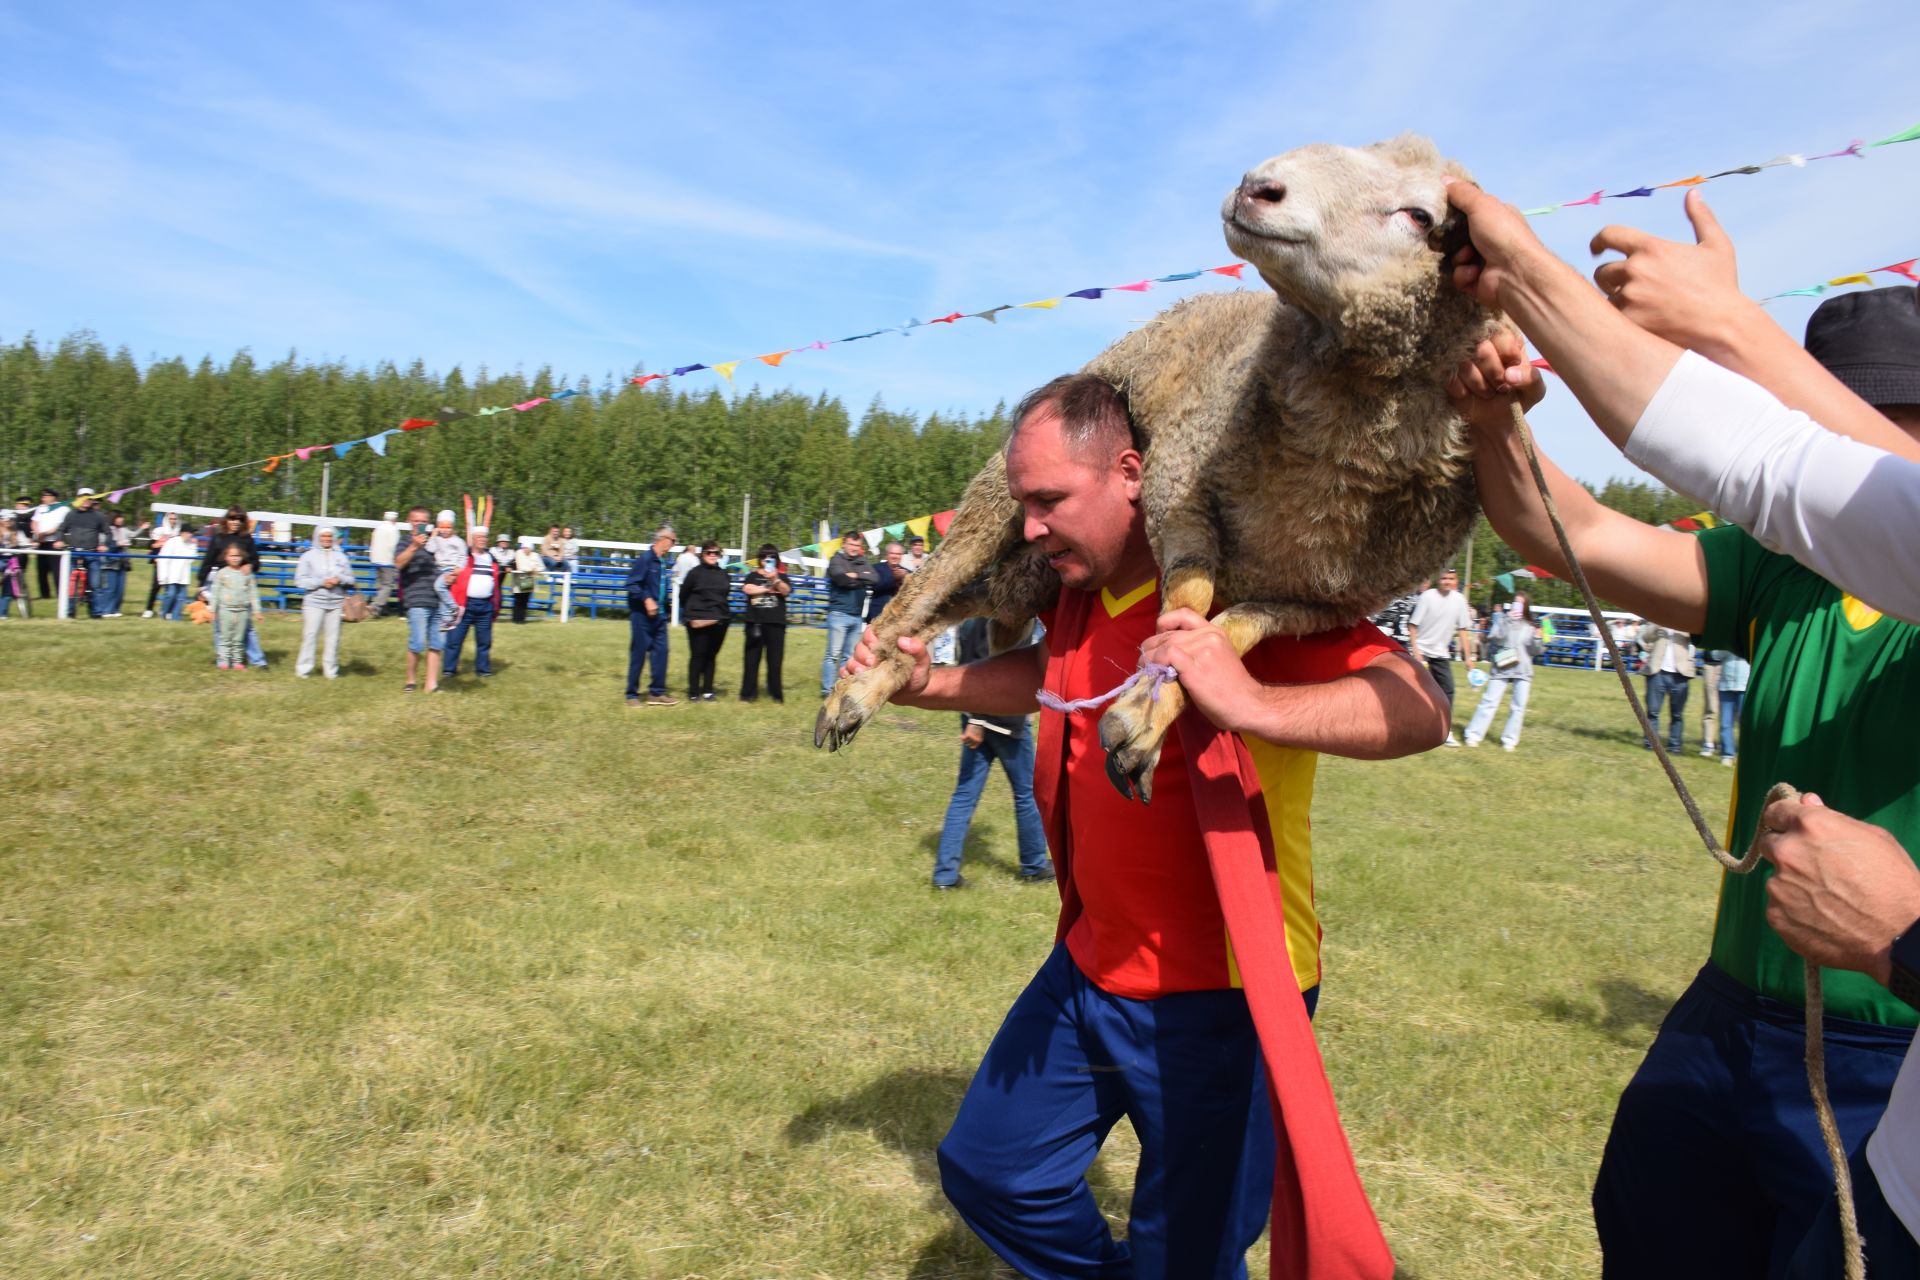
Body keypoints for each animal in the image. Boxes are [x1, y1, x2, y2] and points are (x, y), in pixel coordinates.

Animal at [817, 130, 1489, 794]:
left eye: (1420, 216)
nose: (1256, 187)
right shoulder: (1179, 479)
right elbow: (1190, 593)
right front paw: (1147, 704)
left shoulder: (1327, 605)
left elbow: (1237, 625)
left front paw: (1156, 707)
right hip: (1002, 494)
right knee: (936, 576)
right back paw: (852, 685)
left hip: (1035, 569)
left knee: (973, 599)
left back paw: (884, 677)